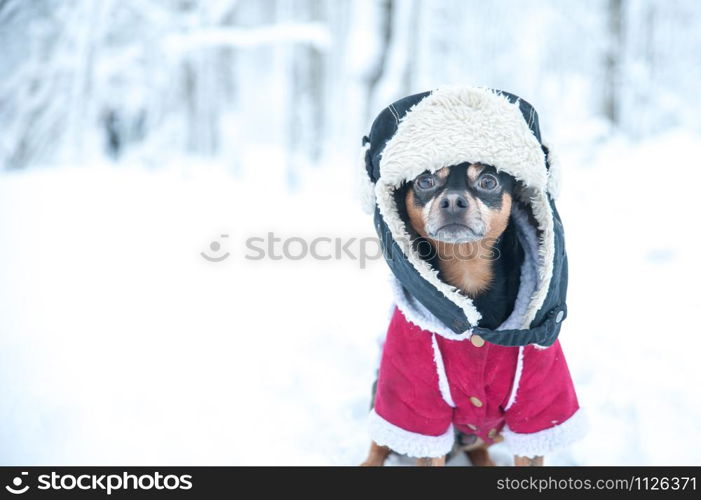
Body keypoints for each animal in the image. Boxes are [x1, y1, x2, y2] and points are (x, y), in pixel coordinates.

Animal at [358, 162, 544, 466]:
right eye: (425, 180)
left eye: (488, 181)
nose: (454, 201)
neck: (467, 270)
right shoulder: (418, 404)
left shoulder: (535, 407)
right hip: (385, 395)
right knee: (380, 442)